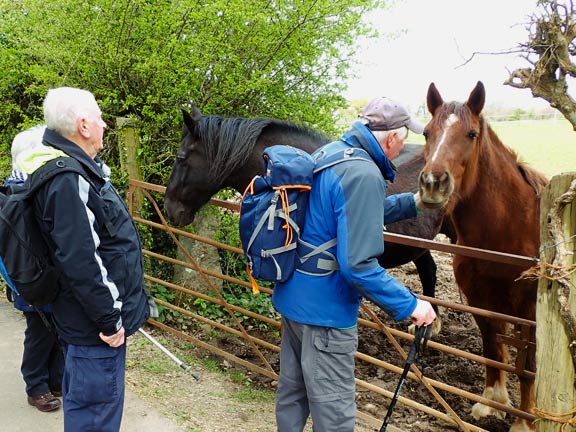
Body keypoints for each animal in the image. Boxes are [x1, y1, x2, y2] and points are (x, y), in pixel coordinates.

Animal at [416, 82, 548, 432]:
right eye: (427, 132)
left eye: (472, 134)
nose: (432, 183)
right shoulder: (480, 299)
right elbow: (492, 347)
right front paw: (492, 402)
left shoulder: (530, 310)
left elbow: (528, 366)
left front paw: (524, 422)